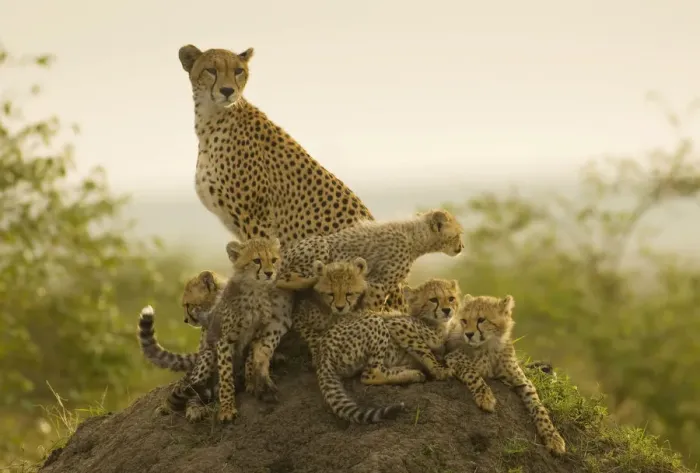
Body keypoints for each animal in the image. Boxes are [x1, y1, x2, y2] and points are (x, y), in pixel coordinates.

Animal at [276, 209, 464, 312]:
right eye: (458, 234)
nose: (462, 247)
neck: (416, 238)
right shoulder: (379, 283)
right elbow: (374, 307)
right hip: (321, 245)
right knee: (283, 279)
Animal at [445, 294, 567, 455]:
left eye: (481, 319)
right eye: (464, 320)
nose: (468, 334)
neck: (491, 345)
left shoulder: (521, 380)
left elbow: (539, 406)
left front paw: (553, 437)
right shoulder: (452, 359)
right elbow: (473, 374)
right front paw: (486, 398)